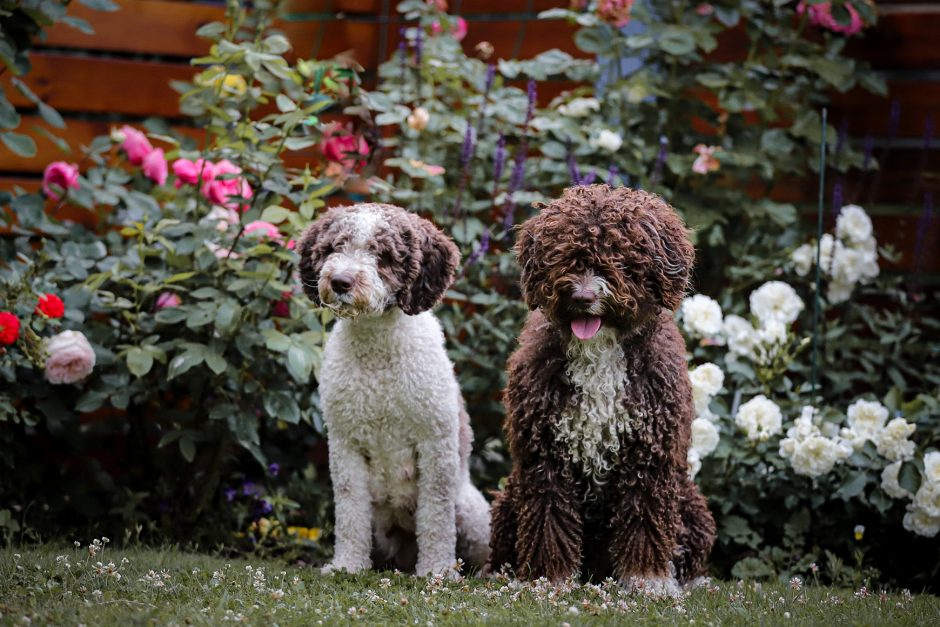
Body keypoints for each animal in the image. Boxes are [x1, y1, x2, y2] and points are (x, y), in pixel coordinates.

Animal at [488, 183, 716, 600]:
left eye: (620, 258)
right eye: (565, 256)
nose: (582, 297)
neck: (600, 352)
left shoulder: (649, 453)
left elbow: (645, 518)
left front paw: (648, 579)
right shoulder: (546, 453)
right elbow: (549, 519)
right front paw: (549, 578)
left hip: (690, 504)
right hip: (511, 499)